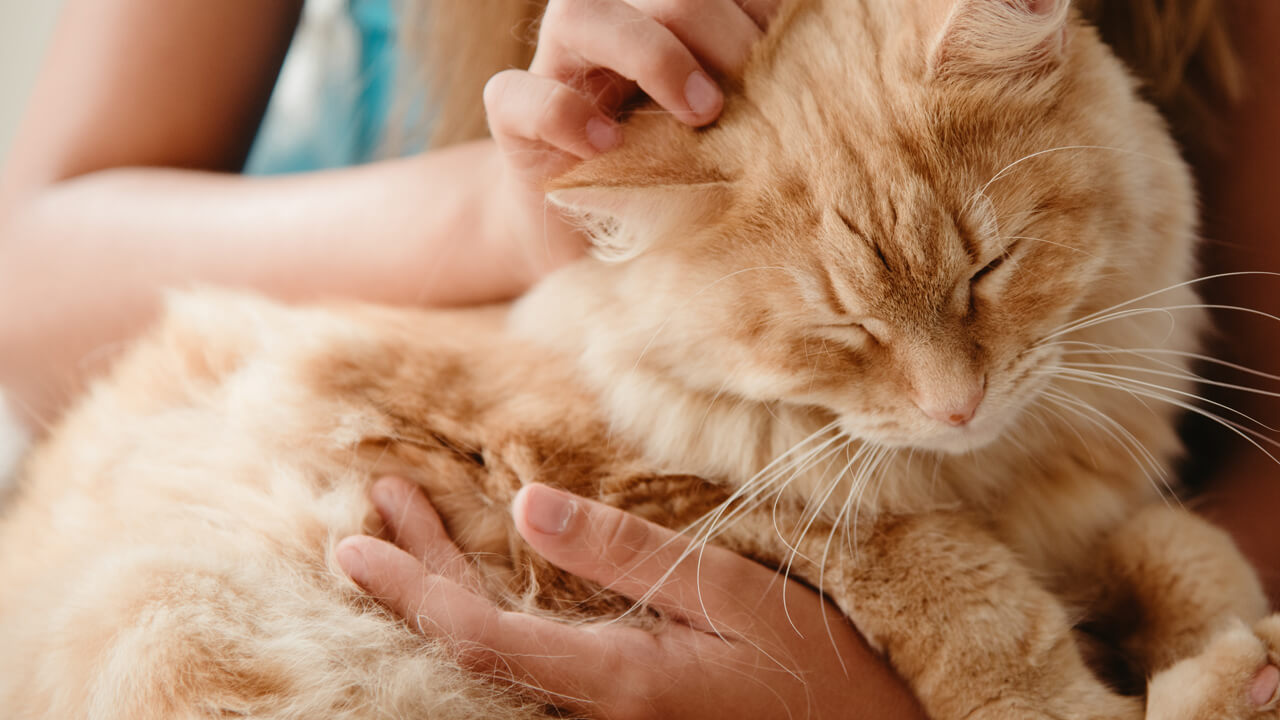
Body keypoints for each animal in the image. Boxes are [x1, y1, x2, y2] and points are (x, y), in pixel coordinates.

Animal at [2, 0, 1280, 712]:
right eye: (844, 331)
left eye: (988, 270)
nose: (956, 405)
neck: (996, 474)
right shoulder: (667, 495)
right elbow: (968, 593)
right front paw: (1124, 687)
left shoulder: (1084, 511)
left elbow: (1180, 545)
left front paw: (1232, 643)